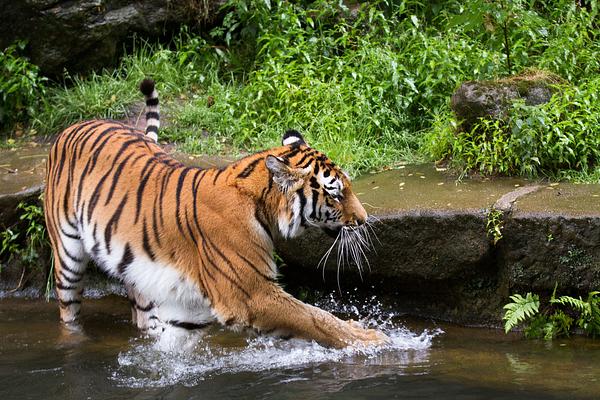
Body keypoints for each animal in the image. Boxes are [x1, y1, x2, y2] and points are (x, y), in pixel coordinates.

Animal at [43, 77, 390, 346]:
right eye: (336, 192)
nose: (364, 220)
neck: (260, 204)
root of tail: (76, 123)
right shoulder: (251, 294)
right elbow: (314, 317)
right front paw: (369, 338)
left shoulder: (188, 307)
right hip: (67, 256)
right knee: (67, 309)